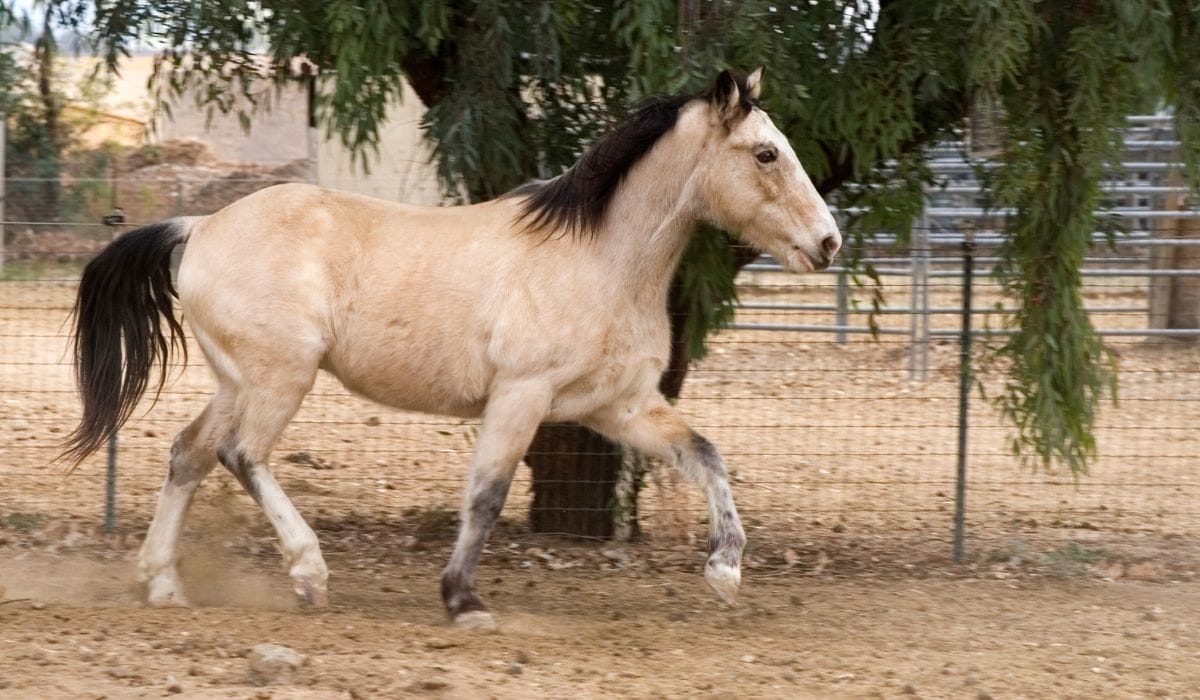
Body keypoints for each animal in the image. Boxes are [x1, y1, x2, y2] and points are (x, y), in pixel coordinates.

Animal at [63, 67, 839, 628]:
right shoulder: (521, 395)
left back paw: (163, 585)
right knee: (241, 454)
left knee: (189, 453)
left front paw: (725, 572)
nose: (828, 242)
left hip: (238, 380)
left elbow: (705, 455)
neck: (599, 260)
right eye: (766, 152)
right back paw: (309, 575)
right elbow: (487, 495)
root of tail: (197, 228)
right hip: (282, 376)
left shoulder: (619, 408)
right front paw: (463, 602)